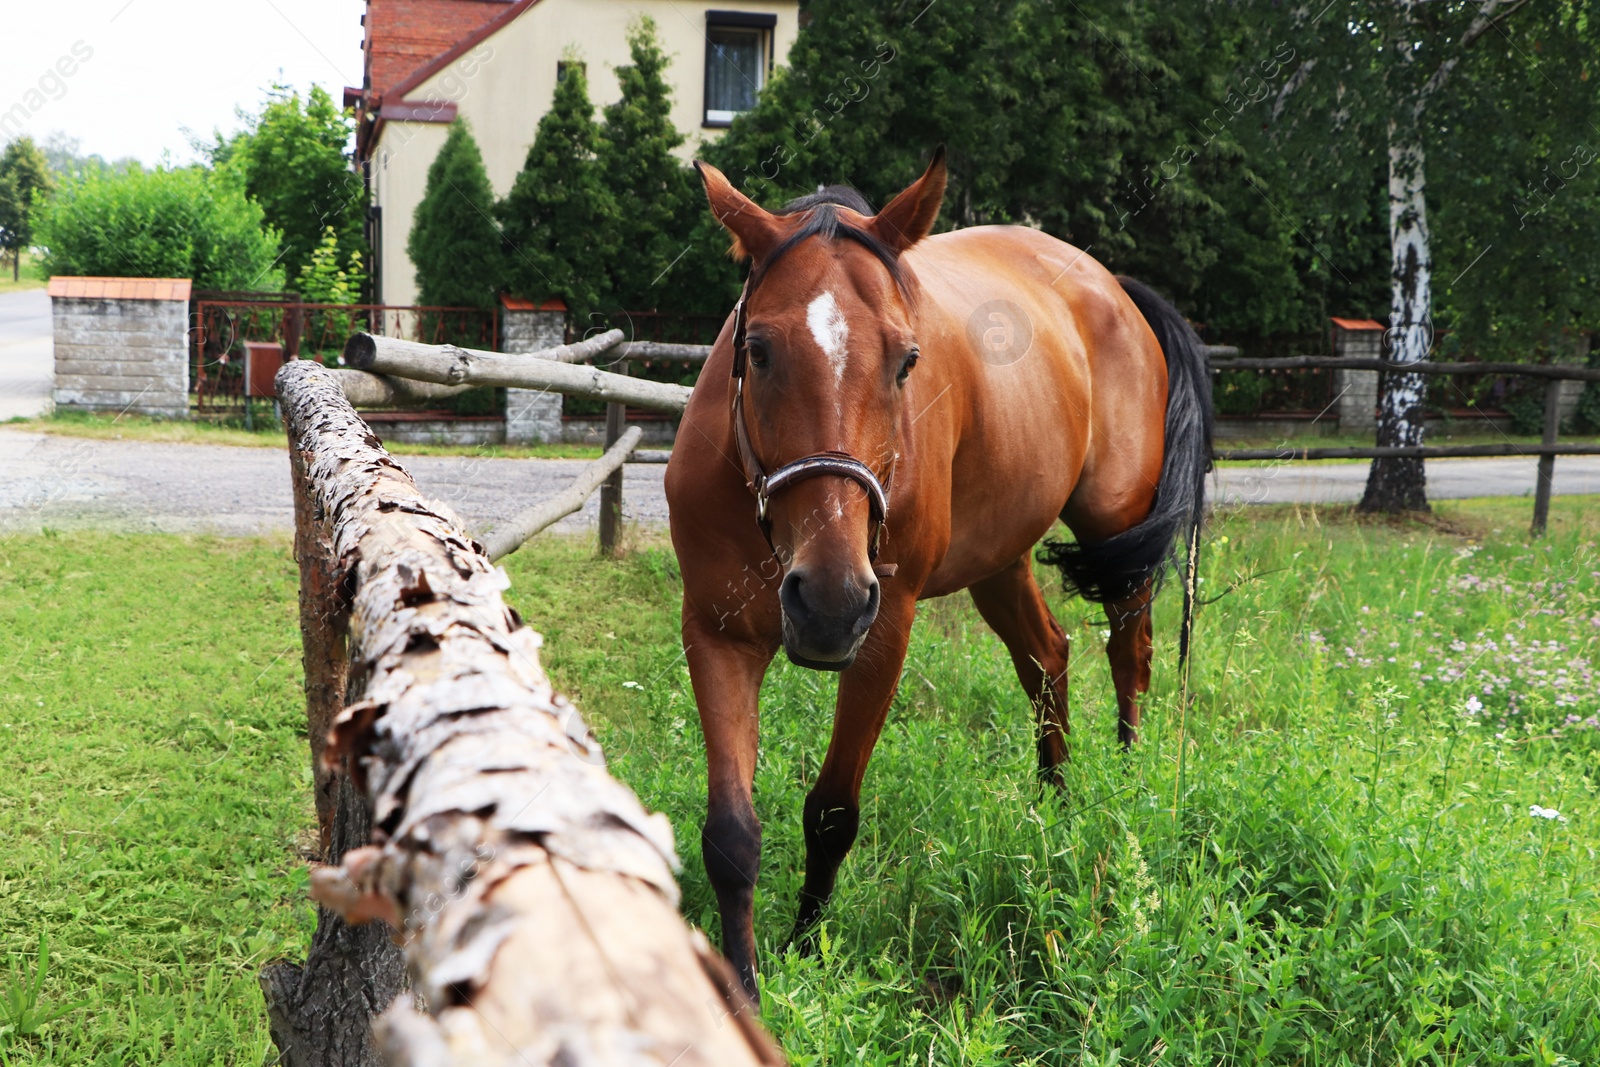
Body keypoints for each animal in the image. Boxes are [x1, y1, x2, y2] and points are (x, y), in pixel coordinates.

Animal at [665, 147, 1209, 1004]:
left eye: (906, 360)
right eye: (757, 349)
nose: (828, 601)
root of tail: (1112, 285)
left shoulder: (885, 627)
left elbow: (832, 811)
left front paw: (806, 948)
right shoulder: (716, 632)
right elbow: (730, 831)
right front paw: (743, 983)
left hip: (1116, 531)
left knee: (1131, 653)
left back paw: (1125, 788)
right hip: (1002, 559)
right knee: (1048, 657)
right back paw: (1054, 809)